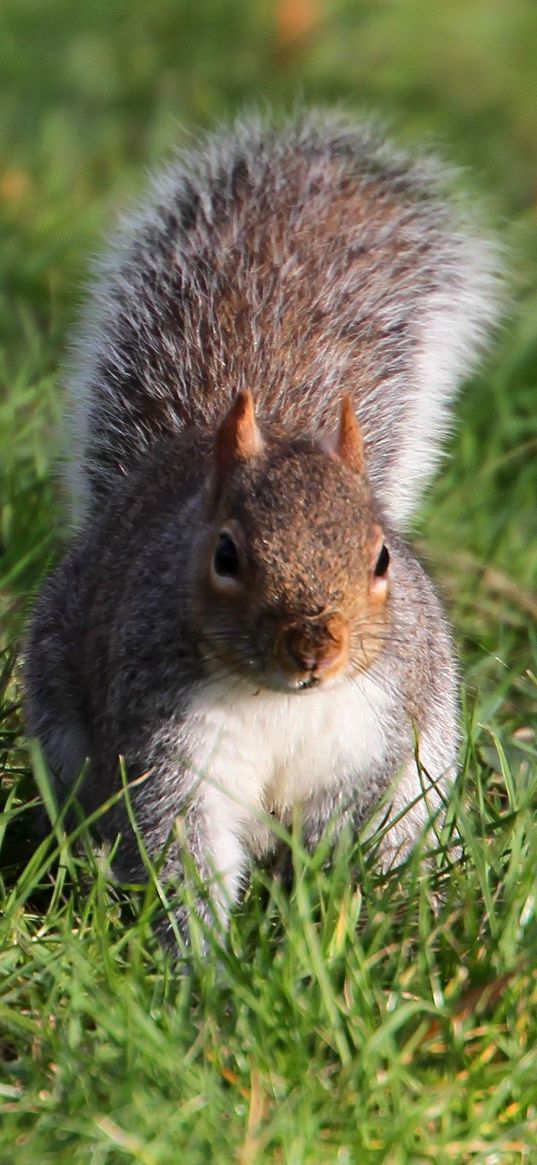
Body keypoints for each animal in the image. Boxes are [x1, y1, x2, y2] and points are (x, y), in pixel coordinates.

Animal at [24, 109, 498, 945]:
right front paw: (199, 963)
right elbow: (183, 851)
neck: (281, 700)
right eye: (226, 554)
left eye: (382, 557)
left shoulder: (371, 737)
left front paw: (319, 919)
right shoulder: (170, 750)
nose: (315, 646)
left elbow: (341, 832)